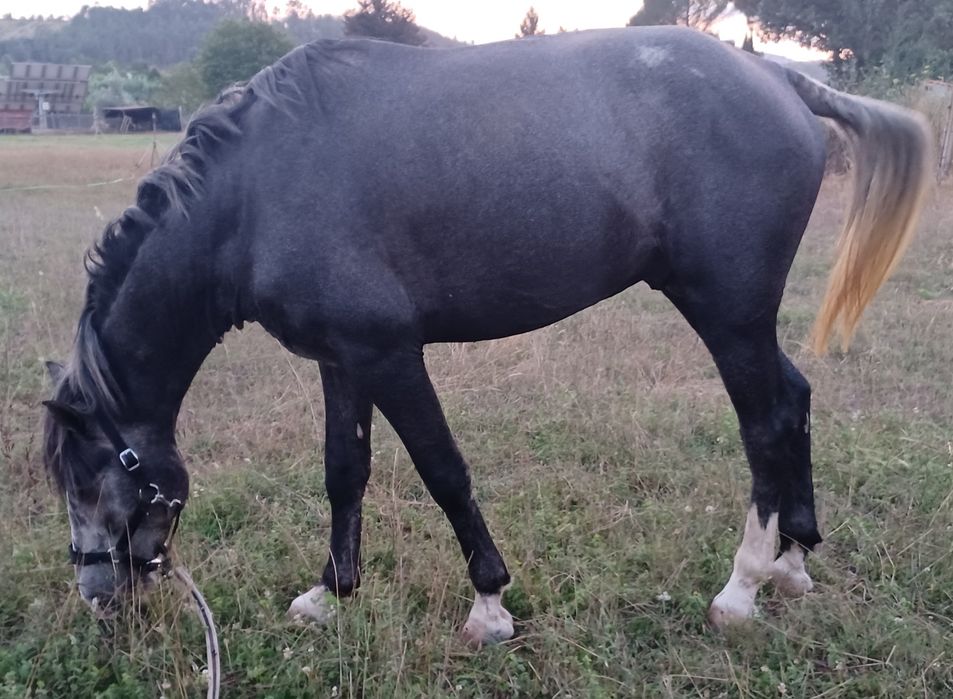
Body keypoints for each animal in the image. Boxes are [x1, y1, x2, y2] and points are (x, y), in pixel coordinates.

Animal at [42, 26, 932, 645]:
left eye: (92, 479)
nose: (99, 598)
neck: (258, 192)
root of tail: (777, 77)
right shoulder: (341, 360)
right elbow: (344, 472)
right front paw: (330, 592)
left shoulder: (390, 355)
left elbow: (443, 470)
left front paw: (489, 601)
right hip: (737, 315)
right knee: (795, 399)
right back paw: (793, 560)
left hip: (725, 312)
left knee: (765, 421)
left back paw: (742, 586)